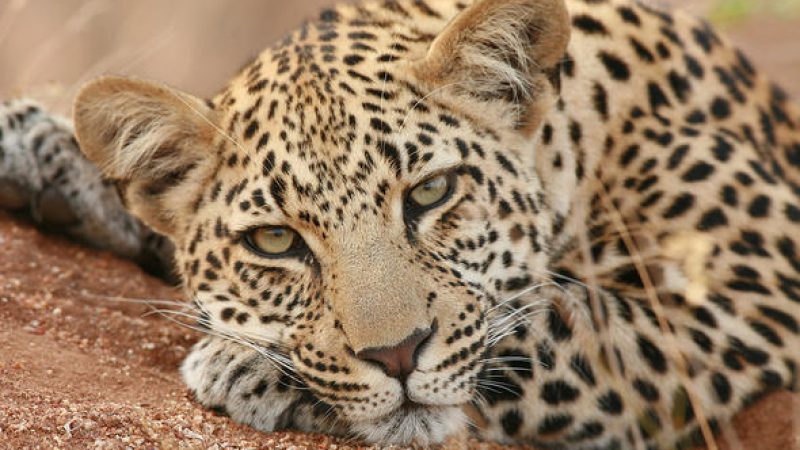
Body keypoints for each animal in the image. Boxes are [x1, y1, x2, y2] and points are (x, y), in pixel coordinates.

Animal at [1, 0, 798, 448]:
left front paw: (250, 366)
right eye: (275, 240)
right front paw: (38, 147)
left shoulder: (747, 294)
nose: (396, 356)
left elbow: (544, 333)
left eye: (432, 192)